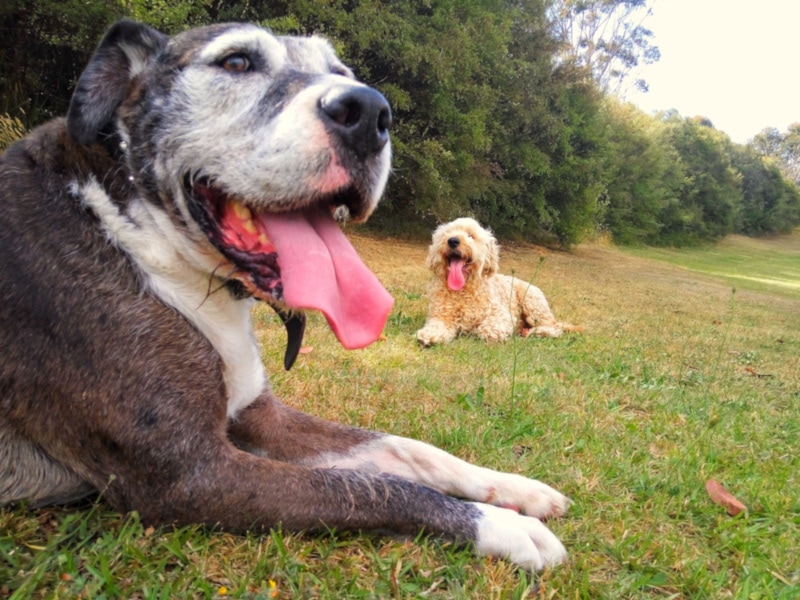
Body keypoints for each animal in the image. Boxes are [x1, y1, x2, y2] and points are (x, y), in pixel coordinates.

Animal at [416, 218, 580, 344]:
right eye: (447, 233)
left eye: (470, 235)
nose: (453, 240)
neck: (464, 289)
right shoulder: (440, 316)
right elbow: (436, 326)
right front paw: (429, 335)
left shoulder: (502, 315)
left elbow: (488, 328)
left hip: (533, 303)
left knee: (554, 327)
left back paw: (536, 332)